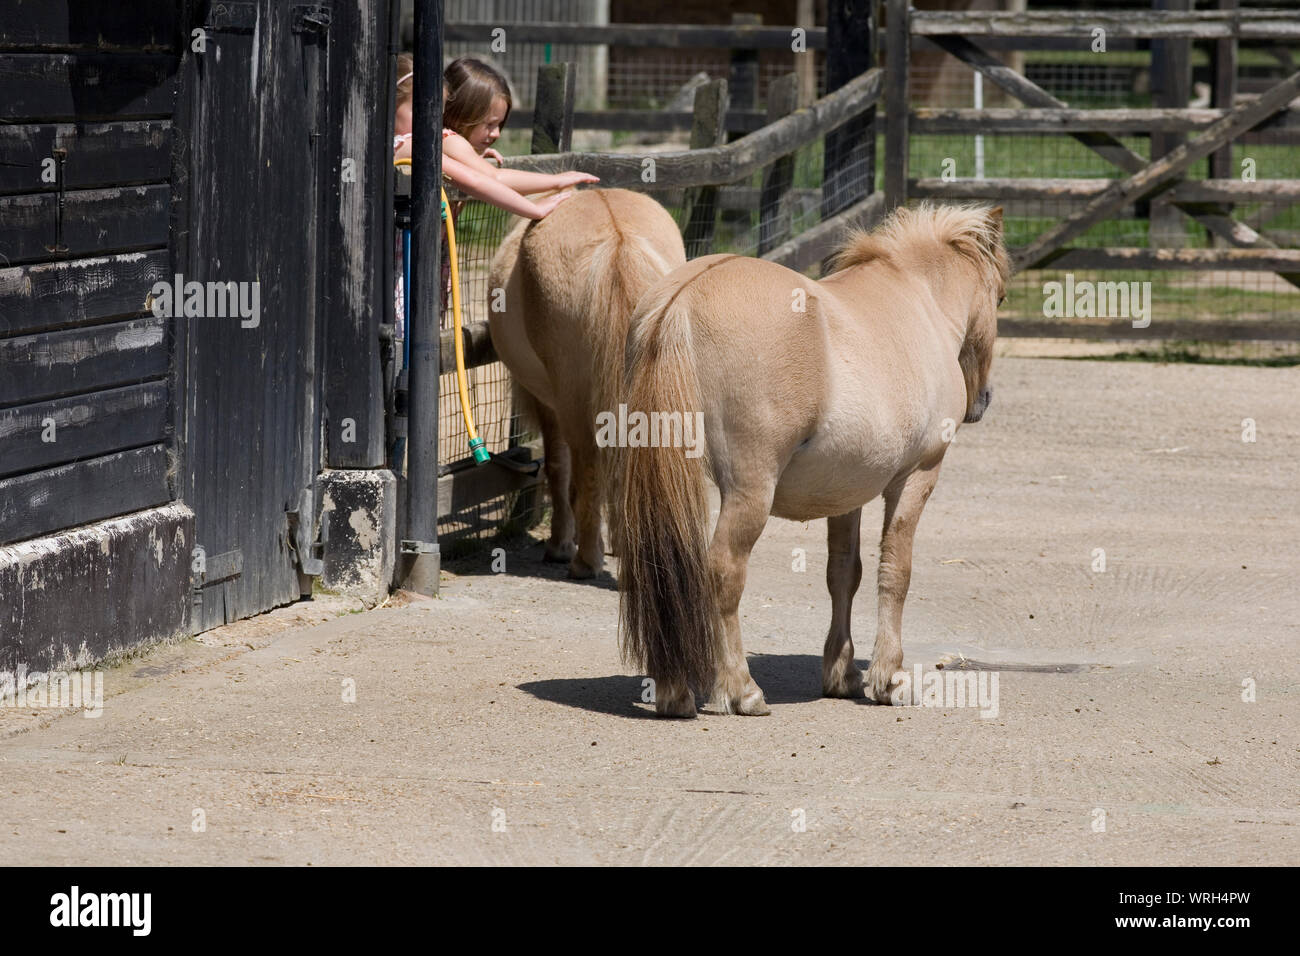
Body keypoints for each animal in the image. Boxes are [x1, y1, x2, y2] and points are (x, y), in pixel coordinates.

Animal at [488, 187, 691, 574]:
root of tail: (617, 236)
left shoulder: (550, 404)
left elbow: (557, 466)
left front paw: (561, 544)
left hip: (572, 397)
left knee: (587, 462)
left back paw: (584, 560)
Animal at [608, 205, 1003, 723]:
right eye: (1000, 295)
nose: (984, 400)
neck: (919, 301)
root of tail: (680, 302)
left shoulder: (847, 493)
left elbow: (845, 574)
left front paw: (842, 674)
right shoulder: (917, 476)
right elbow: (895, 572)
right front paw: (889, 679)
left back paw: (674, 692)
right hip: (751, 490)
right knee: (723, 572)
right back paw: (741, 690)